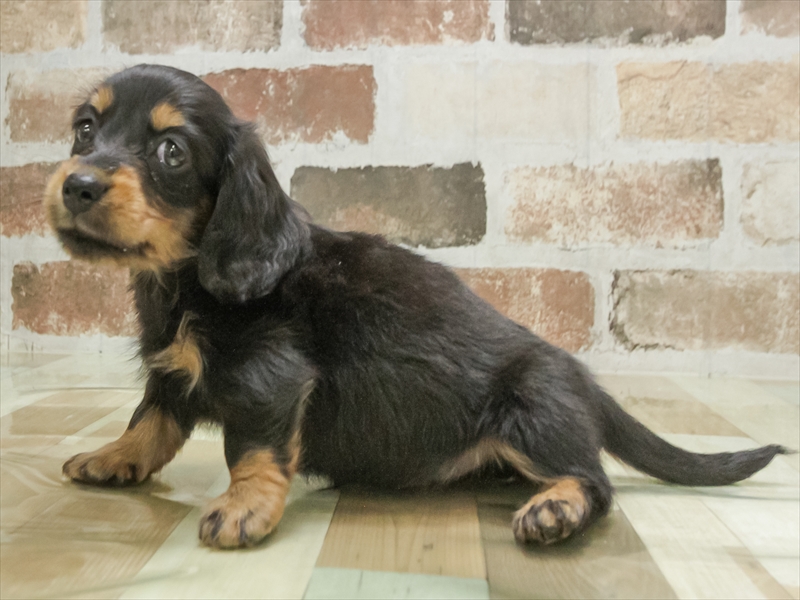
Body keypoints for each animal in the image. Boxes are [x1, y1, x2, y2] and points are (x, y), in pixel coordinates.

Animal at [45, 64, 787, 549]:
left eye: (171, 150)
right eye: (84, 129)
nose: (77, 186)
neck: (183, 278)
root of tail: (586, 383)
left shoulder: (268, 376)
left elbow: (251, 447)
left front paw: (243, 508)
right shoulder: (172, 368)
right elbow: (153, 418)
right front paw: (114, 456)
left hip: (532, 408)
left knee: (593, 481)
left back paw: (557, 511)